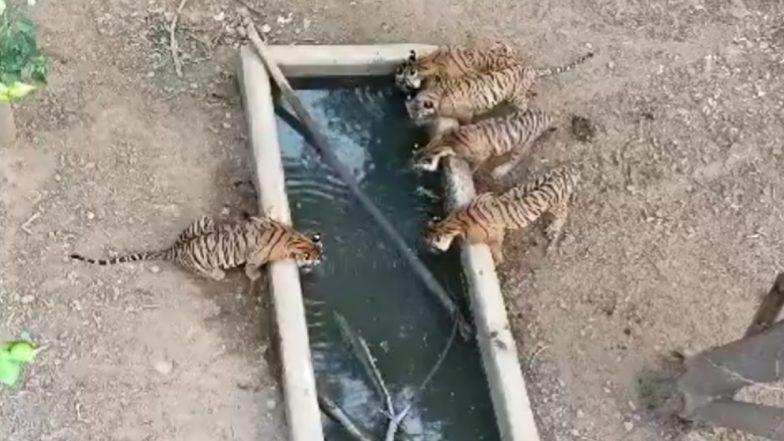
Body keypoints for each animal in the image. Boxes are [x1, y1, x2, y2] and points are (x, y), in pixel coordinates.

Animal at [69, 214, 324, 282]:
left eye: (322, 253)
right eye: (314, 258)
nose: (322, 261)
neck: (293, 237)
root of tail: (173, 248)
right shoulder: (256, 256)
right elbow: (252, 267)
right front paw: (255, 276)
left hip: (204, 220)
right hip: (203, 260)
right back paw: (218, 274)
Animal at [404, 51, 596, 125]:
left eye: (417, 113)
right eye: (410, 112)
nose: (411, 121)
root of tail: (529, 69)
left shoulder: (466, 113)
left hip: (516, 96)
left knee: (524, 105)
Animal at [410, 108, 556, 177]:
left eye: (424, 160)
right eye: (418, 152)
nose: (413, 160)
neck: (450, 139)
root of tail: (545, 115)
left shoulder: (482, 155)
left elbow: (474, 165)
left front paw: (470, 172)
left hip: (521, 144)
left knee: (516, 159)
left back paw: (501, 170)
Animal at [426, 164, 580, 262]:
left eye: (431, 245)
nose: (428, 250)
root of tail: (566, 171)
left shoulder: (495, 233)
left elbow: (495, 247)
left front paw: (498, 261)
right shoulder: (485, 197)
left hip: (555, 205)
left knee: (564, 213)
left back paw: (553, 227)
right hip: (543, 178)